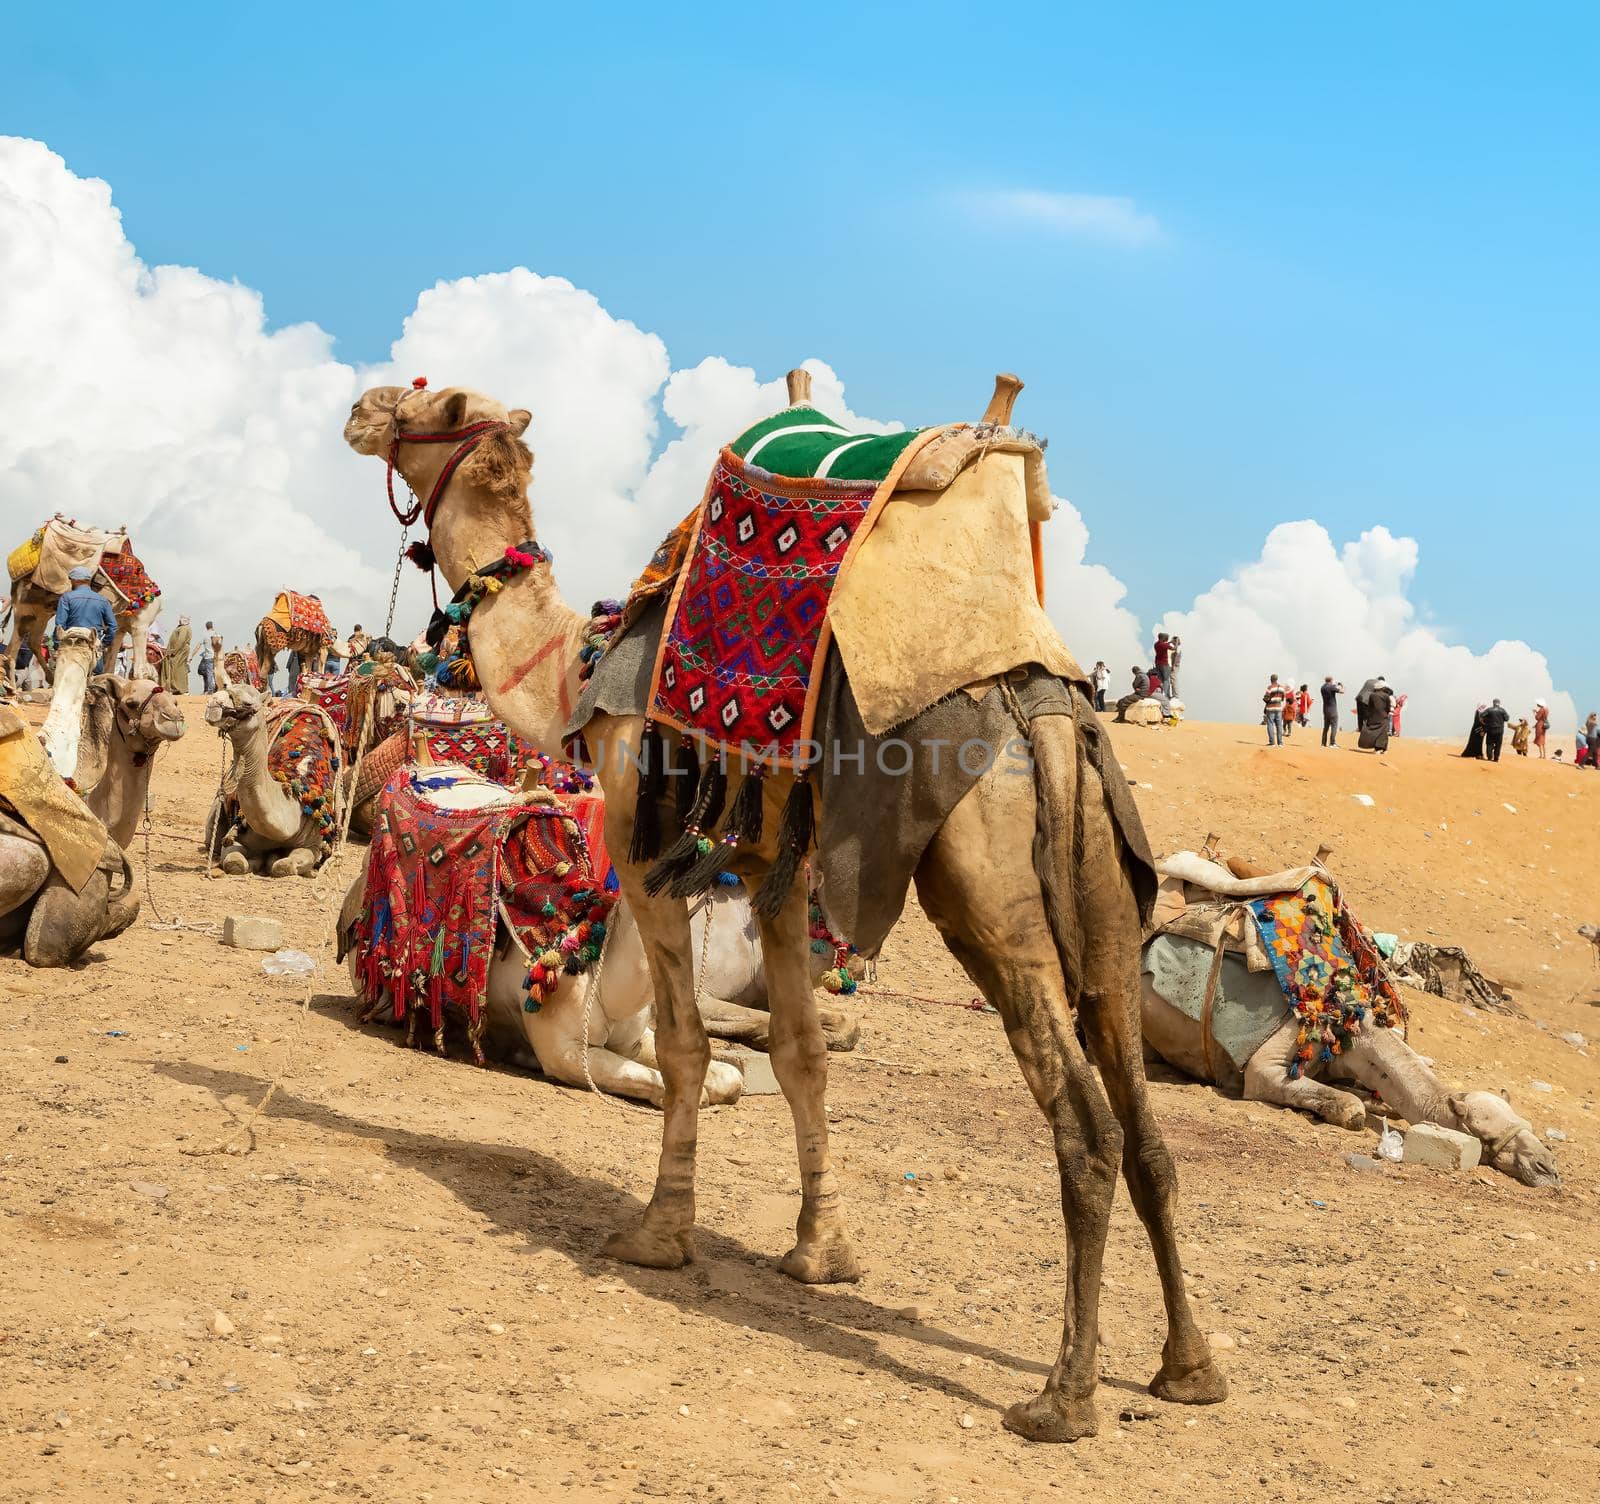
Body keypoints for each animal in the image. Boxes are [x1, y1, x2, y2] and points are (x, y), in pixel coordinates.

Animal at [347, 372, 1222, 1433]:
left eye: (432, 407)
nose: (362, 408)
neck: (573, 674)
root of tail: (1045, 714)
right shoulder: (776, 873)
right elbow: (803, 1056)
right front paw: (821, 1253)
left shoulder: (645, 854)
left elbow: (687, 1051)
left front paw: (659, 1234)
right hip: (1104, 890)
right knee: (1148, 1136)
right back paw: (1188, 1369)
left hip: (986, 895)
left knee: (1089, 1131)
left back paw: (1063, 1398)